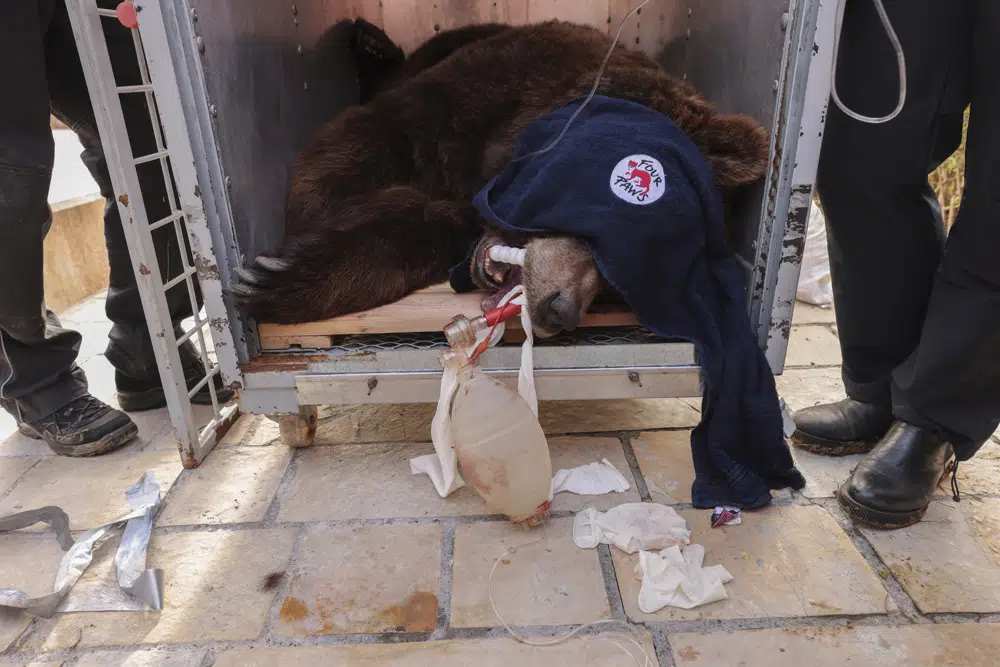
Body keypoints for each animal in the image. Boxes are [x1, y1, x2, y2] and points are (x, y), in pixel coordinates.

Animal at [230, 19, 768, 340]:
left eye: (619, 290)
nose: (561, 312)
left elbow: (428, 229)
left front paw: (280, 272)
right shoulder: (479, 93)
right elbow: (351, 150)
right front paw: (279, 266)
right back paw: (368, 40)